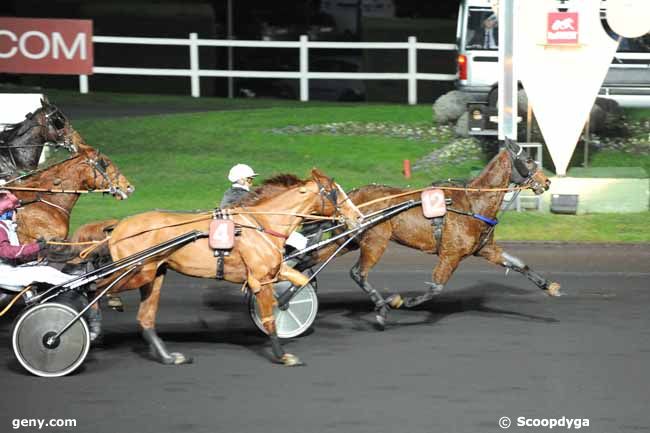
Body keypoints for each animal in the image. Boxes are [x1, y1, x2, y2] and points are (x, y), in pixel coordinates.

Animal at [102, 170, 360, 366]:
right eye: (335, 192)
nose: (357, 216)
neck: (262, 223)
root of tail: (118, 226)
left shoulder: (276, 270)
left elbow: (300, 282)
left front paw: (285, 303)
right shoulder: (261, 278)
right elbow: (269, 316)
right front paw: (282, 355)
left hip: (154, 274)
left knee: (146, 318)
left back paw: (168, 357)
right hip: (137, 271)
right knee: (101, 287)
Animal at [312, 138, 556, 324]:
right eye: (528, 160)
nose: (547, 181)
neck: (473, 203)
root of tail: (351, 196)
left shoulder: (486, 249)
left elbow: (519, 265)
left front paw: (550, 286)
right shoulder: (451, 254)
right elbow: (436, 287)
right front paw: (403, 301)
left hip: (348, 240)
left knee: (314, 258)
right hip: (375, 241)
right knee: (358, 273)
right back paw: (381, 307)